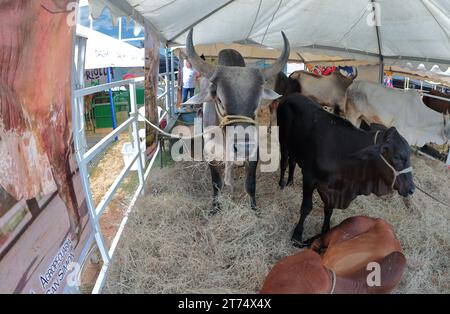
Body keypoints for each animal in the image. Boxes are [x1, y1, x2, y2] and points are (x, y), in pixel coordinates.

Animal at [185, 28, 290, 211]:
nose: (243, 147)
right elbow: (217, 182)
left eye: (257, 101)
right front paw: (215, 206)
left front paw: (254, 208)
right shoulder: (210, 152)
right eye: (220, 100)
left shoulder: (254, 152)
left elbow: (250, 184)